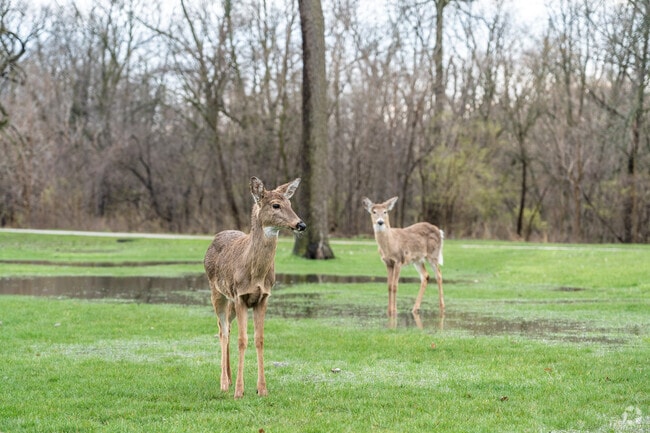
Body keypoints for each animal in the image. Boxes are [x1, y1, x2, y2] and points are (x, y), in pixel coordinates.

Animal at [204, 177, 306, 399]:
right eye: (275, 205)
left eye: (290, 203)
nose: (301, 224)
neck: (256, 275)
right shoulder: (240, 296)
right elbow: (243, 340)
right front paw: (239, 391)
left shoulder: (264, 297)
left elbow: (259, 339)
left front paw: (262, 389)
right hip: (217, 292)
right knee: (222, 331)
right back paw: (224, 383)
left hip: (230, 301)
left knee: (228, 327)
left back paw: (229, 378)